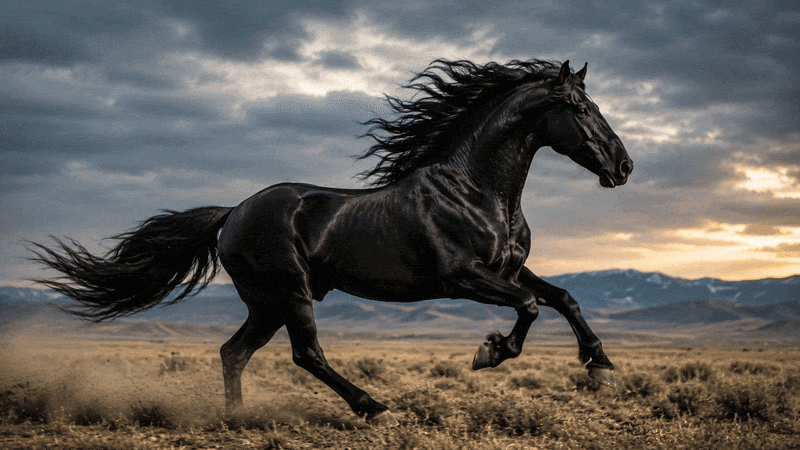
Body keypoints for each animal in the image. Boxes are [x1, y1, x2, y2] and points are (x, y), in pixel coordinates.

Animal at [29, 59, 632, 427]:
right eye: (582, 109)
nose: (625, 167)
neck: (476, 190)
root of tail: (232, 213)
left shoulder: (507, 270)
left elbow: (563, 298)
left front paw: (600, 368)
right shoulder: (461, 277)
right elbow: (530, 307)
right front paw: (489, 352)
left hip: (268, 303)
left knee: (234, 352)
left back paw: (237, 419)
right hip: (290, 291)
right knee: (306, 353)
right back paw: (375, 409)